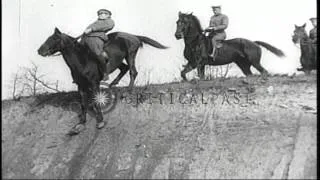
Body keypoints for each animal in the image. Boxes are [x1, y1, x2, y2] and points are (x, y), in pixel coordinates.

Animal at [37, 27, 168, 135]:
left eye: (54, 39)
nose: (39, 51)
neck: (82, 60)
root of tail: (133, 36)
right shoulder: (81, 86)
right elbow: (83, 104)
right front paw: (80, 124)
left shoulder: (94, 84)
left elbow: (96, 101)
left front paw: (100, 121)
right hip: (118, 60)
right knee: (124, 68)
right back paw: (112, 84)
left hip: (130, 55)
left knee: (132, 72)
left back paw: (128, 91)